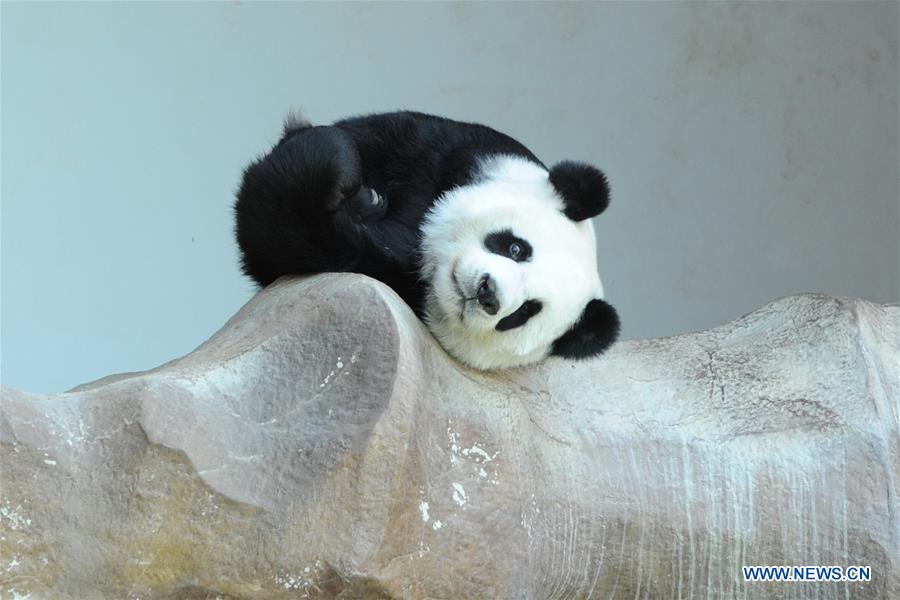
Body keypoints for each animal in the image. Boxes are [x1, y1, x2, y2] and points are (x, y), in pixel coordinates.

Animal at [234, 111, 619, 370]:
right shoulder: (438, 147)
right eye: (516, 248)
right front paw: (357, 187)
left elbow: (295, 233)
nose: (488, 293)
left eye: (525, 311)